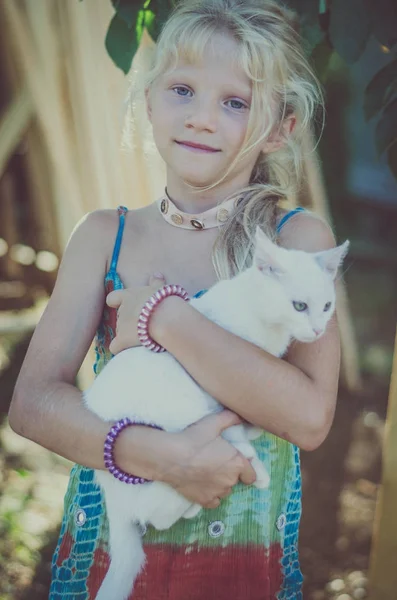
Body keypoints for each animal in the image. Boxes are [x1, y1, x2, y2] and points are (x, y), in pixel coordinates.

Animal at [83, 227, 346, 596]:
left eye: (326, 306)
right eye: (299, 306)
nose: (320, 329)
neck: (261, 318)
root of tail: (108, 489)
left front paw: (250, 430)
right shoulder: (212, 384)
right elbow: (230, 428)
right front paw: (254, 466)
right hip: (174, 420)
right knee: (155, 511)